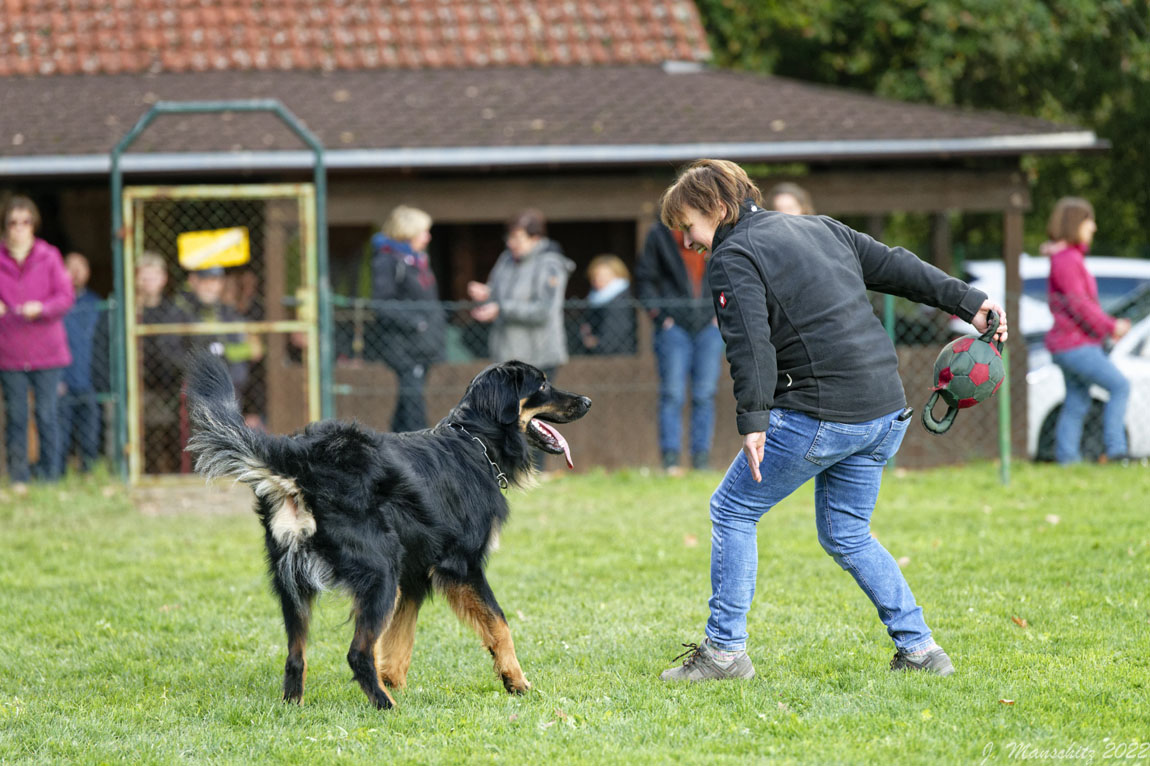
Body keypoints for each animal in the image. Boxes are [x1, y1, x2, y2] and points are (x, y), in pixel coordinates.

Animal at [185, 354, 593, 708]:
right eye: (542, 384)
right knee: (357, 653)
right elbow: (500, 624)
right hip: (380, 573)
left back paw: (297, 705)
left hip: (296, 585)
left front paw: (396, 681)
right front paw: (516, 681)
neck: (475, 441)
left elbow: (399, 641)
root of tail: (302, 461)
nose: (588, 401)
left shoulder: (412, 577)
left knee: (296, 656)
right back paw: (385, 705)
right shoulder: (462, 566)